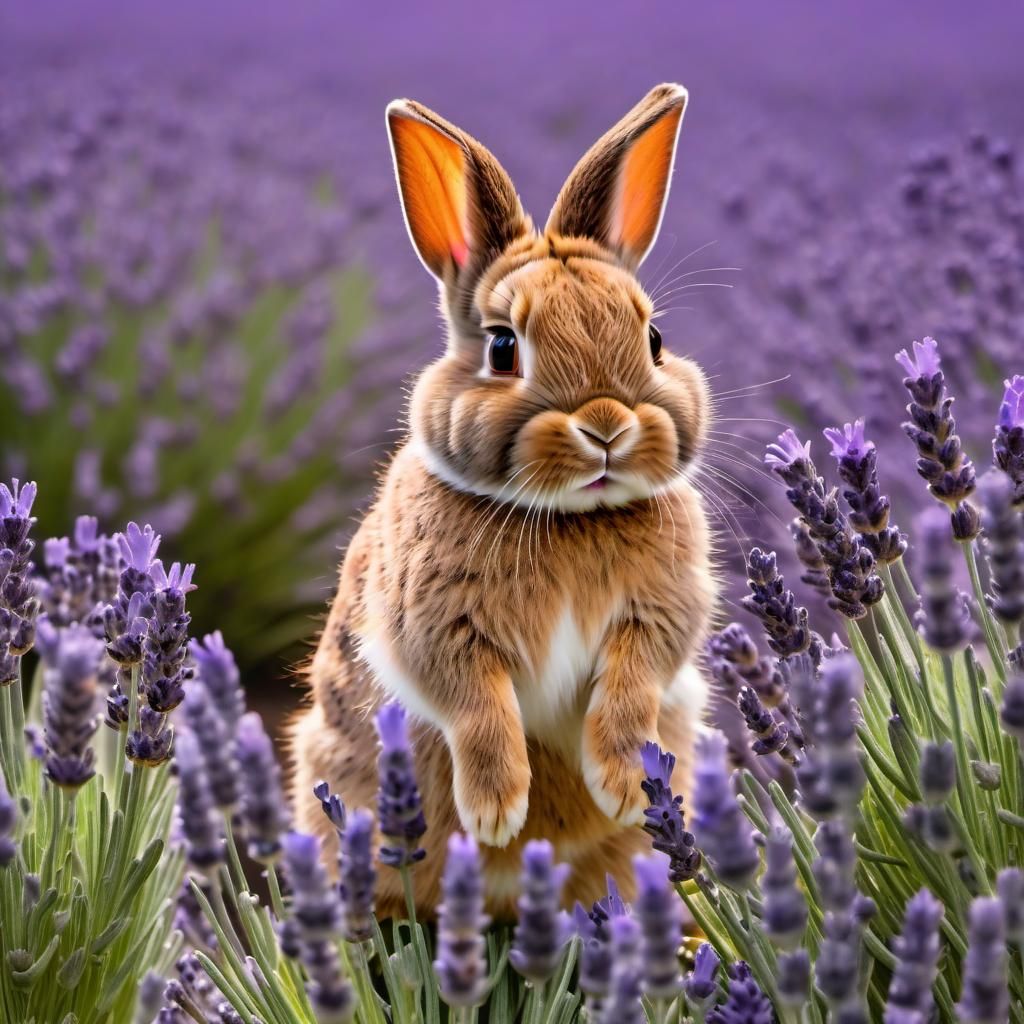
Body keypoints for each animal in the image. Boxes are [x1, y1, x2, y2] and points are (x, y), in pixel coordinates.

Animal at [289, 82, 717, 919]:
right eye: (501, 347)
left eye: (654, 339)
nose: (607, 426)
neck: (571, 517)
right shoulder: (436, 628)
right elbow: (477, 709)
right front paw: (495, 811)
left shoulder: (656, 620)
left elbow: (630, 689)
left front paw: (623, 786)